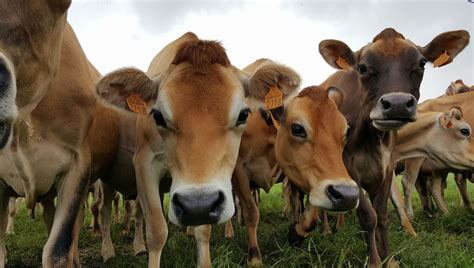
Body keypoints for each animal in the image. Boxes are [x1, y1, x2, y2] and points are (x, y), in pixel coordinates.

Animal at [316, 27, 468, 266]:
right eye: (362, 67)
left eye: (422, 63)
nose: (397, 104)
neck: (372, 138)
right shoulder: (349, 169)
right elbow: (368, 216)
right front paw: (375, 261)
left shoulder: (387, 168)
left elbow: (381, 215)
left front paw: (389, 258)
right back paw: (327, 229)